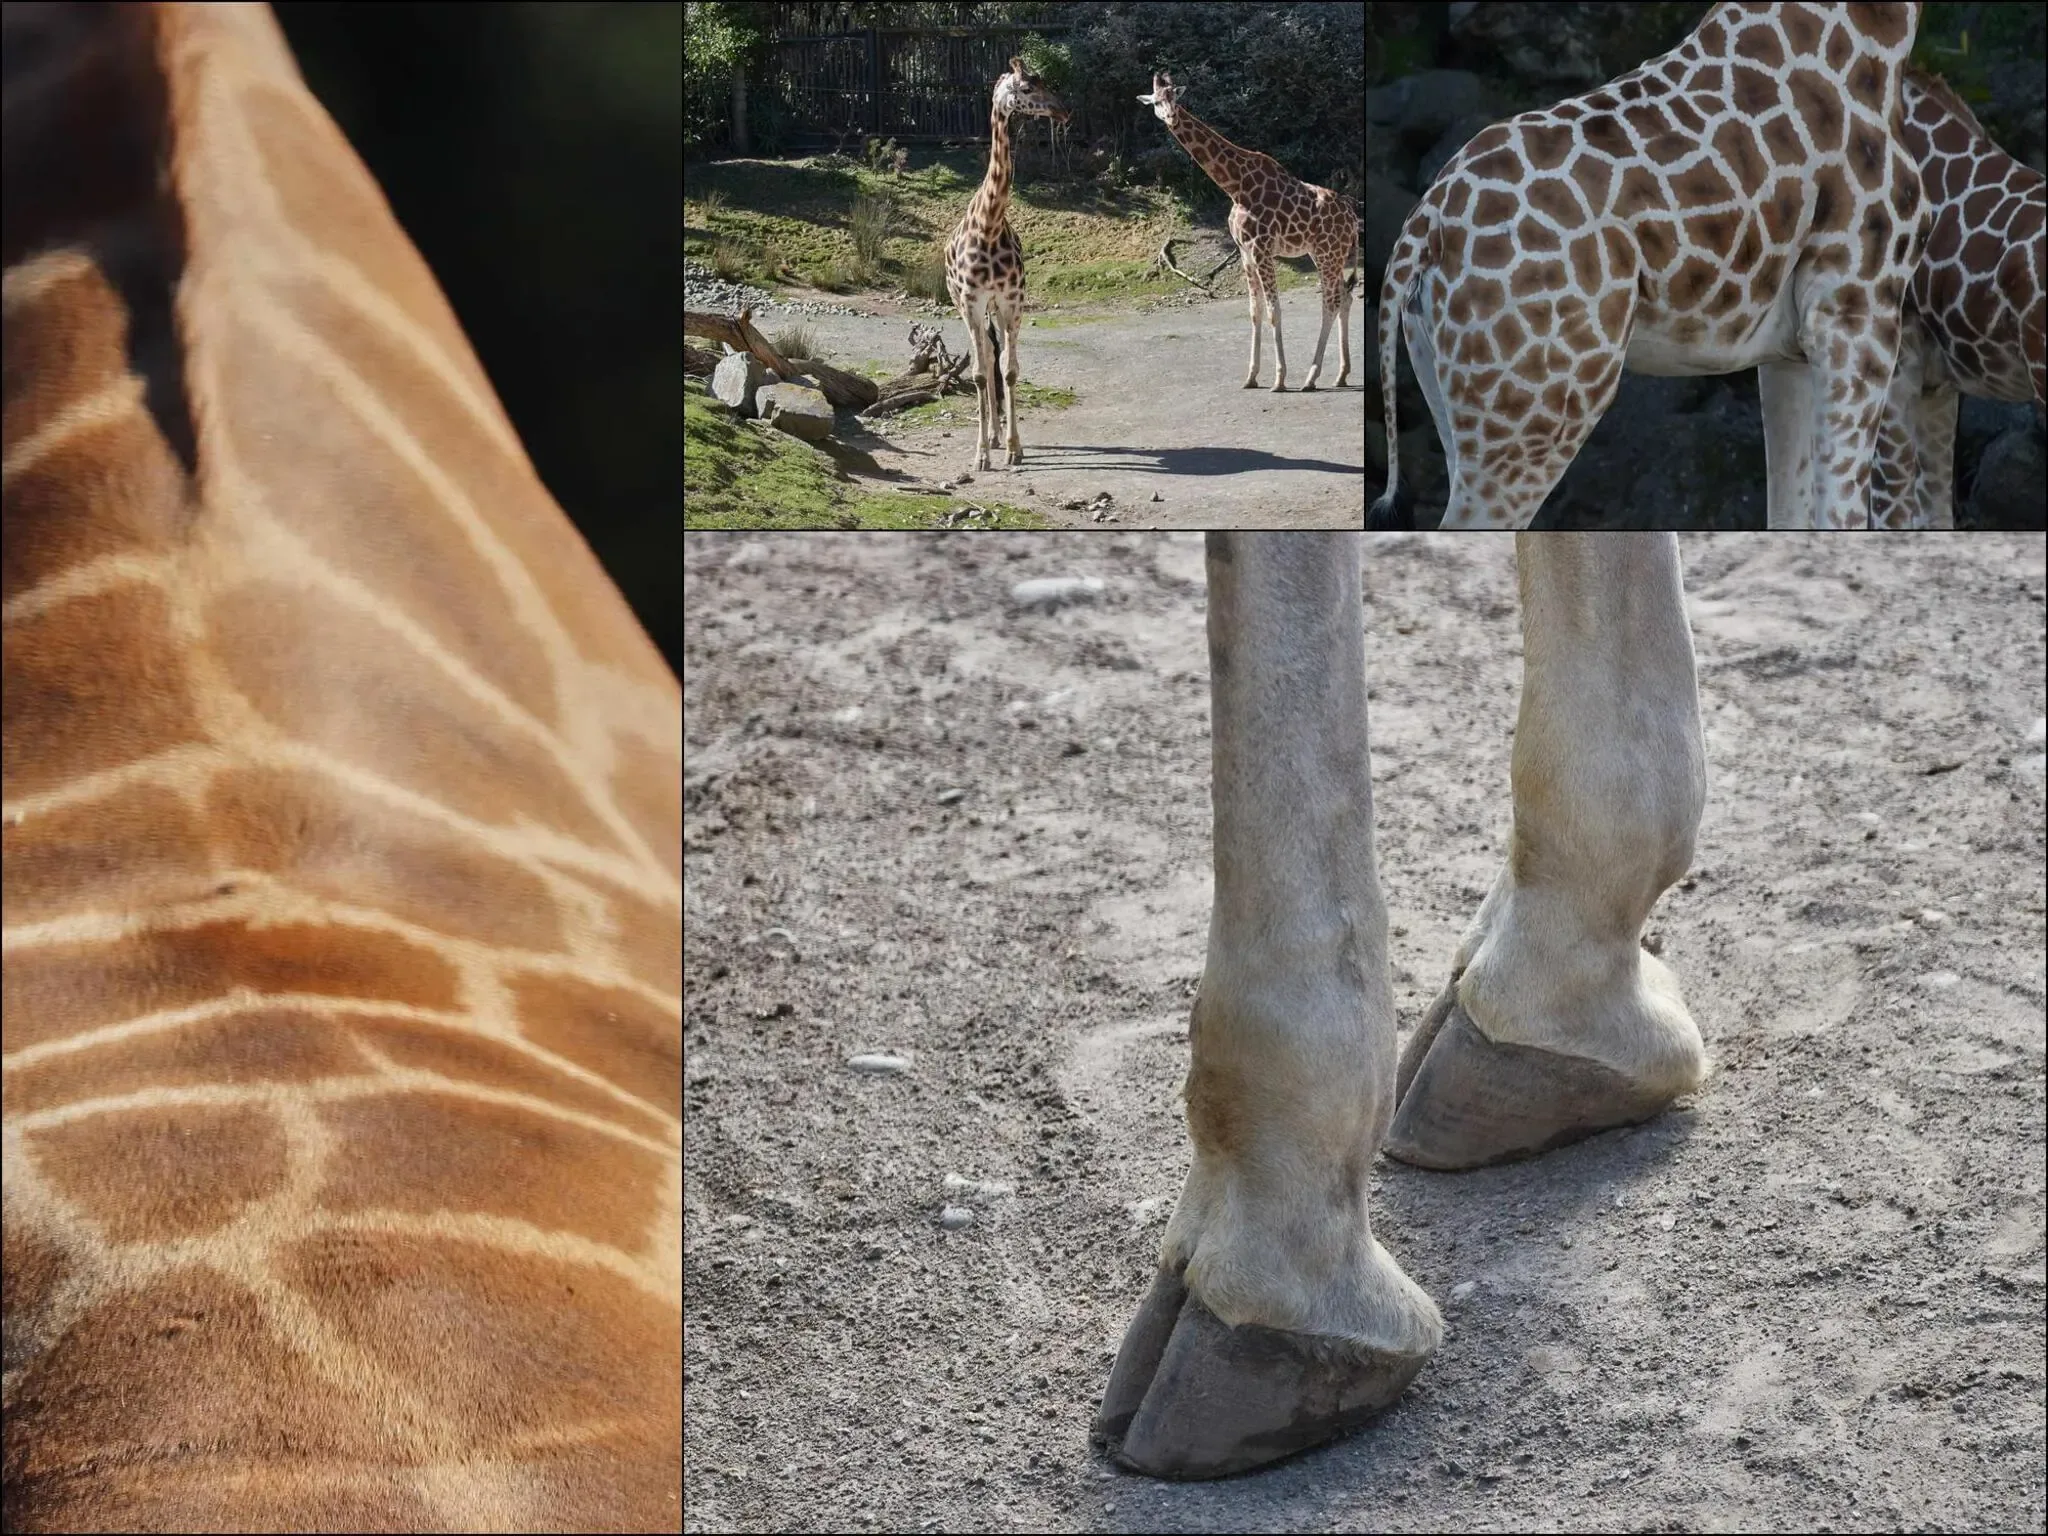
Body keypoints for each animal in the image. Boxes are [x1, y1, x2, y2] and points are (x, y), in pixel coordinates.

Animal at [944, 56, 1069, 472]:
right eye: (1027, 88)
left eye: (1045, 82)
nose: (1063, 111)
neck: (989, 223)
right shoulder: (971, 301)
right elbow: (980, 373)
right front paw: (980, 454)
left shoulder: (1012, 299)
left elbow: (1009, 370)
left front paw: (1015, 447)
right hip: (965, 305)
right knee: (983, 357)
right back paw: (990, 440)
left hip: (996, 308)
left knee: (994, 353)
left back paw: (1000, 437)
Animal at [1138, 72, 1361, 392]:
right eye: (1156, 101)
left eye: (1174, 98)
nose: (1171, 117)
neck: (1235, 185)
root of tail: (1352, 219)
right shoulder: (1245, 251)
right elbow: (1254, 312)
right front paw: (1251, 377)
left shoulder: (1261, 248)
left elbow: (1273, 311)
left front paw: (1279, 379)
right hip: (1328, 253)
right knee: (1345, 297)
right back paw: (1341, 375)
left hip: (1328, 253)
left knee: (1330, 302)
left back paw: (1310, 377)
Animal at [1368, 1, 1928, 531]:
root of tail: (1425, 226)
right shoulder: (1856, 313)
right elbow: (1846, 516)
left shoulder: (1789, 349)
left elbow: (1789, 513)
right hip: (1534, 414)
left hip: (1448, 388)